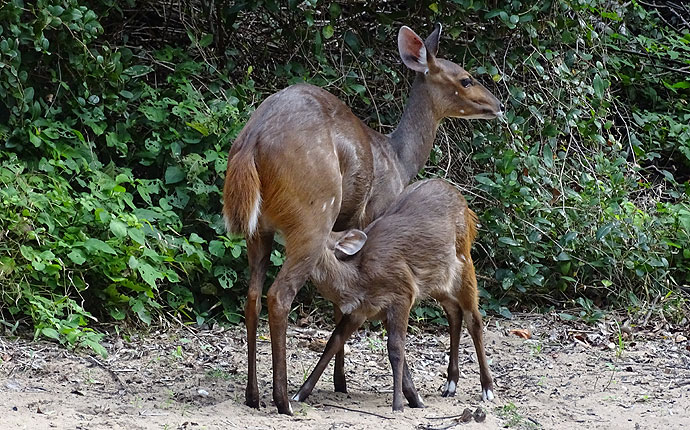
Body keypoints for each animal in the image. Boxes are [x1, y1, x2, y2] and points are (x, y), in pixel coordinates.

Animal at [290, 179, 494, 414]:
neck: (358, 277)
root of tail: (468, 209)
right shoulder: (361, 311)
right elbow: (334, 341)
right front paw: (299, 394)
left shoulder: (402, 294)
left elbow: (396, 348)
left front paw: (398, 405)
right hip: (438, 282)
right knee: (454, 313)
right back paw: (450, 385)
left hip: (464, 263)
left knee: (474, 318)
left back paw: (487, 389)